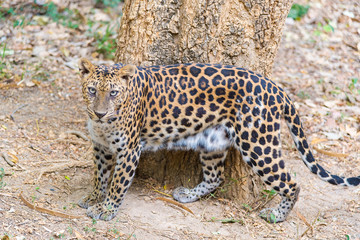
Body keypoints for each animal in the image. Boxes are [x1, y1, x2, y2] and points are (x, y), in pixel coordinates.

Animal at [77, 57, 358, 221]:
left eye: (114, 93)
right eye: (91, 90)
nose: (100, 113)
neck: (103, 125)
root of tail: (276, 88)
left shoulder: (129, 150)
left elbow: (117, 183)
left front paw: (106, 210)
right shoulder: (100, 146)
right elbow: (100, 175)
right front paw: (93, 198)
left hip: (258, 144)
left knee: (292, 183)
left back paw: (276, 215)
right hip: (212, 141)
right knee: (215, 177)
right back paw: (187, 194)